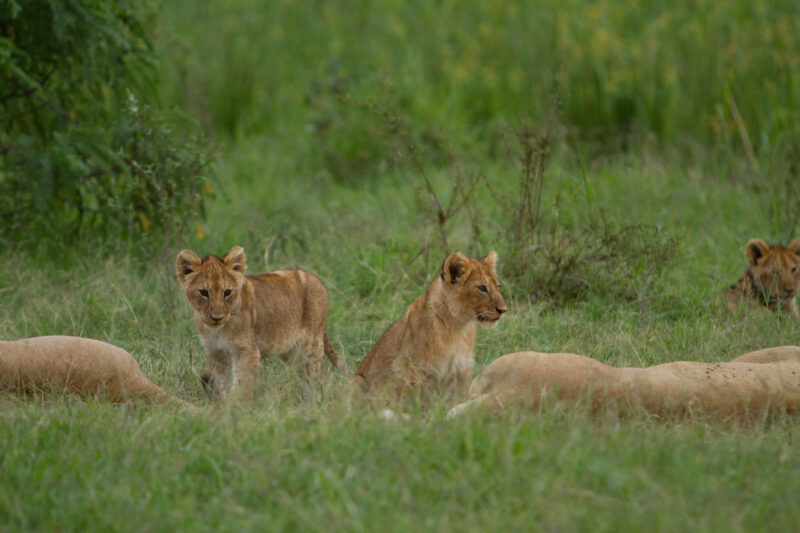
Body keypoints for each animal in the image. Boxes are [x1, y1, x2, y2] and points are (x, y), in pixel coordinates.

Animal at [176, 245, 344, 401]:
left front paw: (233, 406)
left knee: (316, 381)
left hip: (311, 345)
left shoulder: (247, 351)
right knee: (306, 378)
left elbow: (241, 384)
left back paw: (315, 404)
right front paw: (222, 402)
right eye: (204, 292)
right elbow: (220, 382)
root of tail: (316, 279)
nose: (217, 317)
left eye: (227, 292)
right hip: (291, 352)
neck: (217, 330)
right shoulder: (215, 353)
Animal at [353, 251, 507, 406]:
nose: (503, 310)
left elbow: (459, 400)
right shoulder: (411, 368)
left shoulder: (461, 370)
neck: (457, 327)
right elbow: (415, 401)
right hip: (357, 381)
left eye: (498, 285)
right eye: (482, 288)